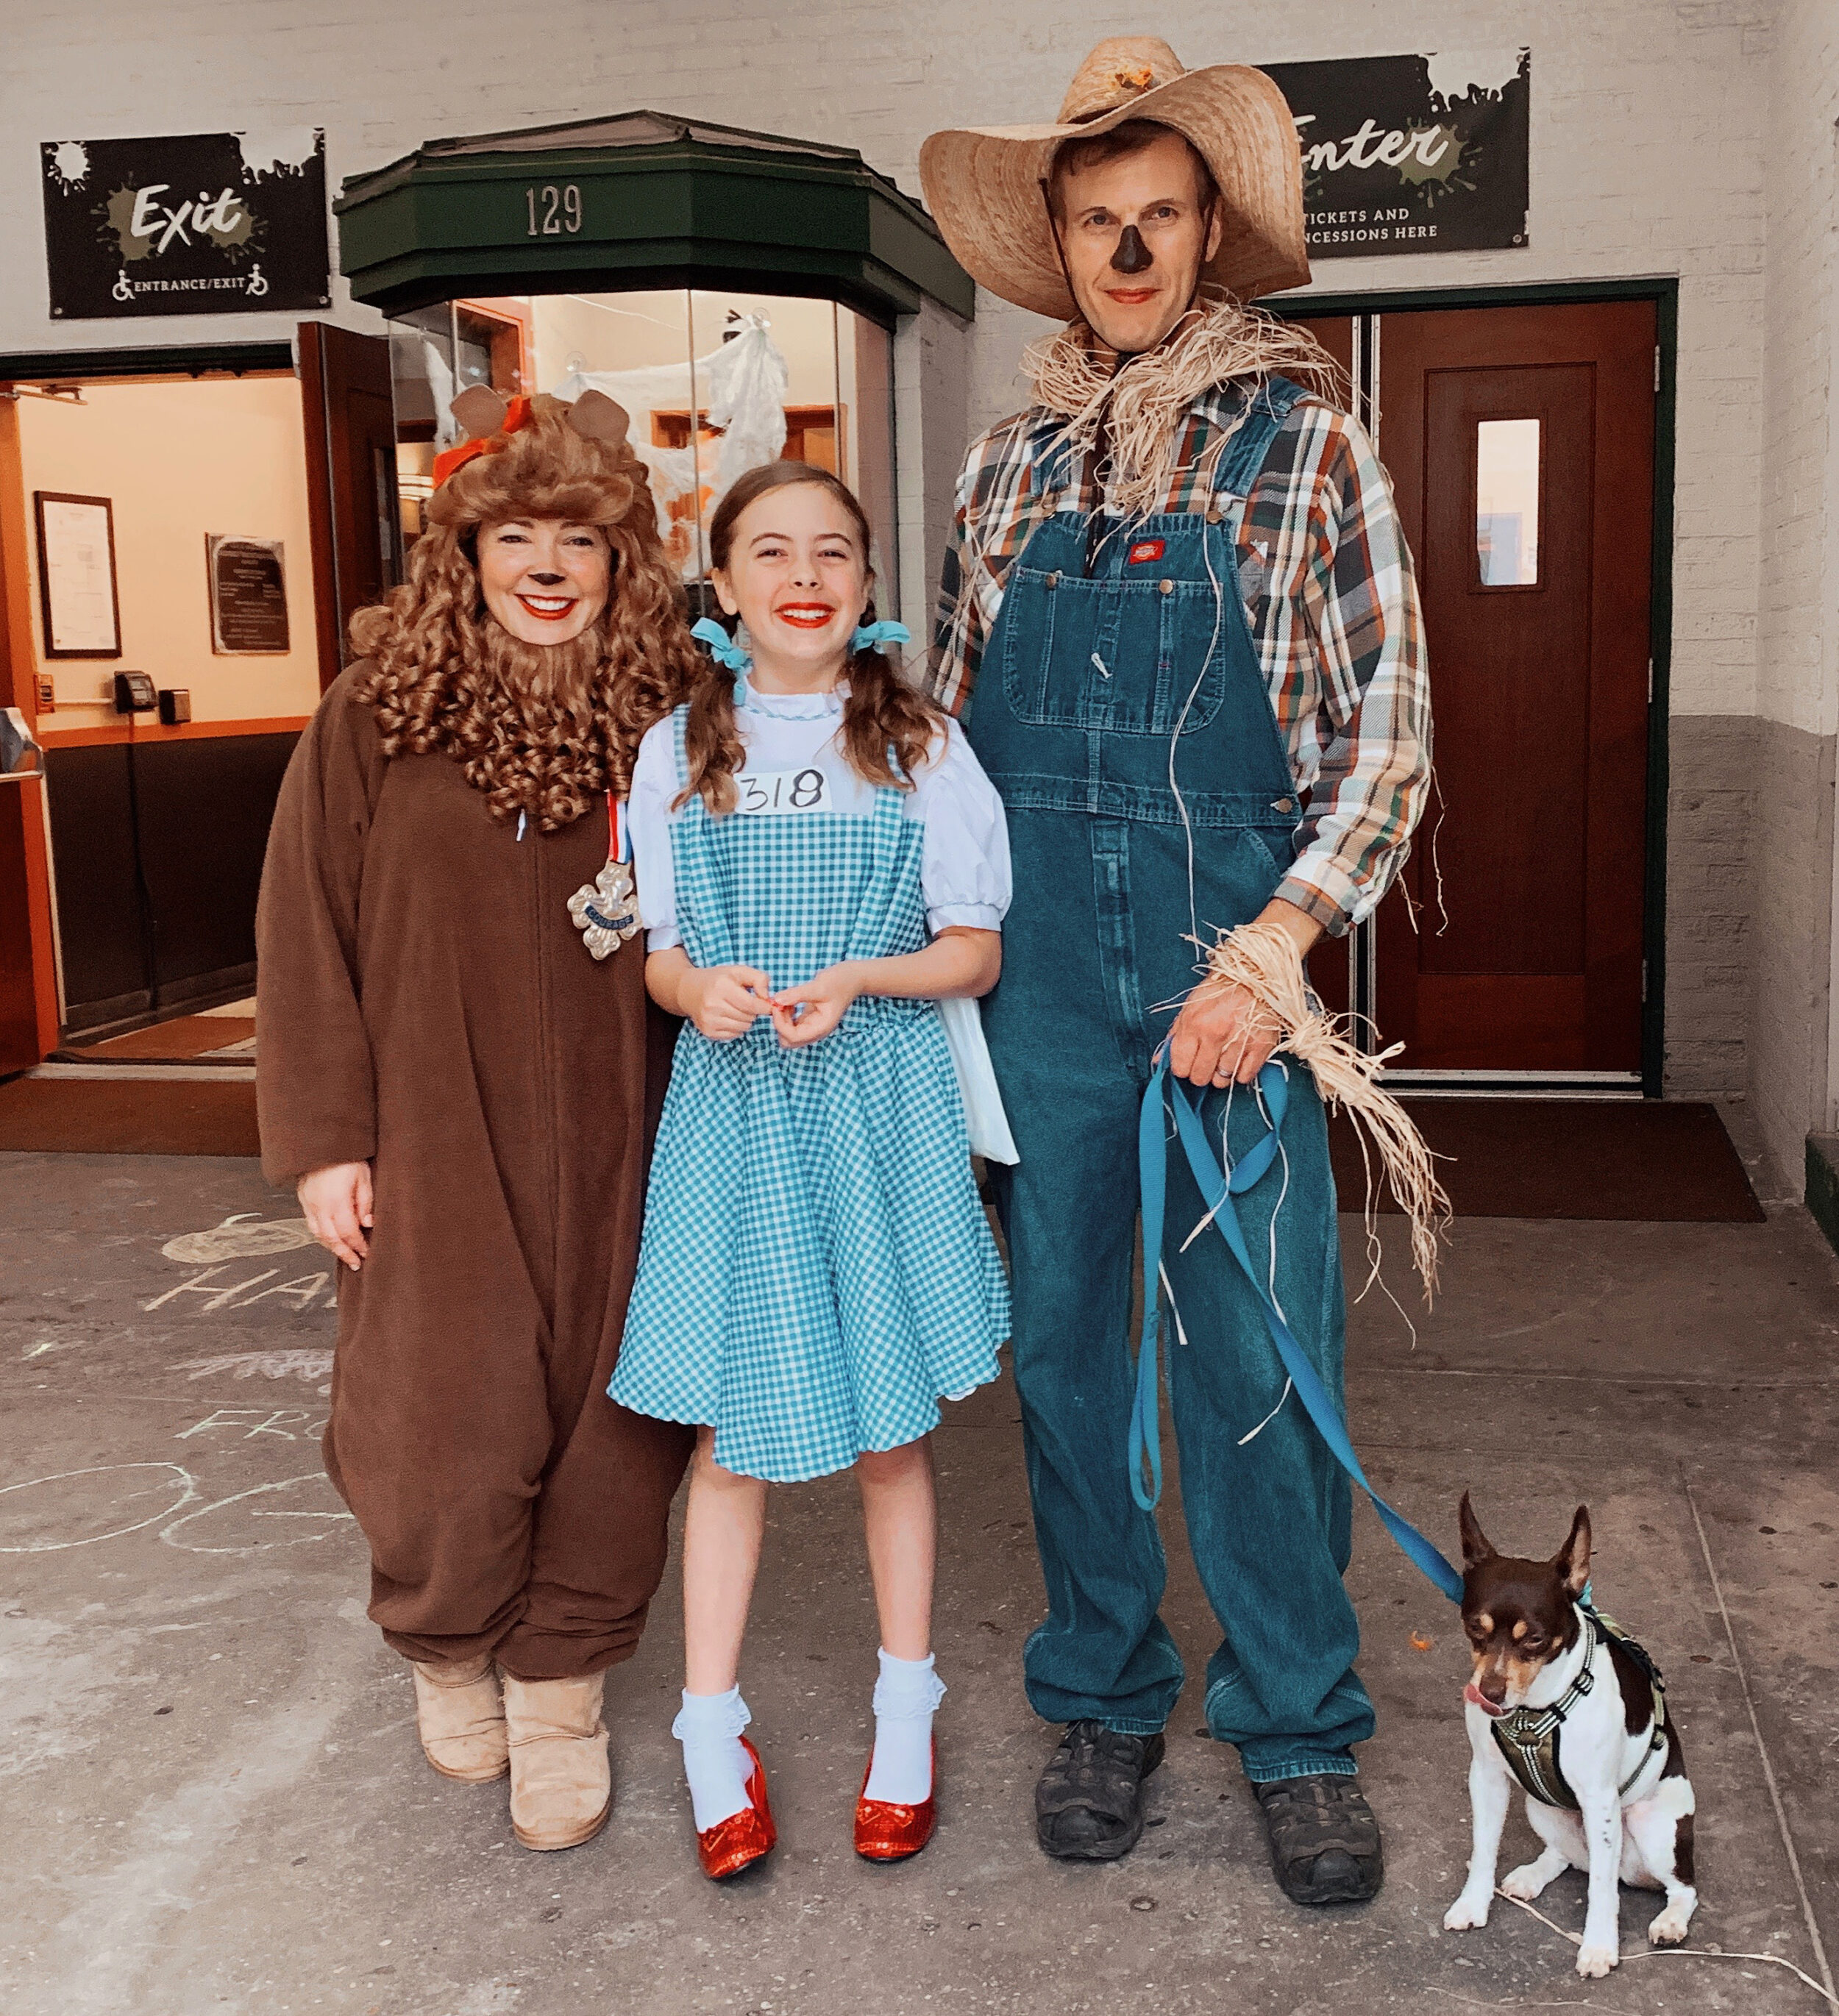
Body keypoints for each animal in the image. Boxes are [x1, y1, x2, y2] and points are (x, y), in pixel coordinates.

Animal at [1443, 1492, 1701, 1976]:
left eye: (1535, 1639)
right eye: (1473, 1628)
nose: (1489, 1693)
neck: (1533, 1709)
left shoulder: (1600, 1800)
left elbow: (1602, 1888)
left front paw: (1599, 1947)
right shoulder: (1485, 1778)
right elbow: (1483, 1850)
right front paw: (1473, 1904)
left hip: (1651, 1825)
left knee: (1681, 1886)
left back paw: (1671, 1921)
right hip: (1541, 1808)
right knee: (1568, 1857)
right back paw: (1531, 1875)